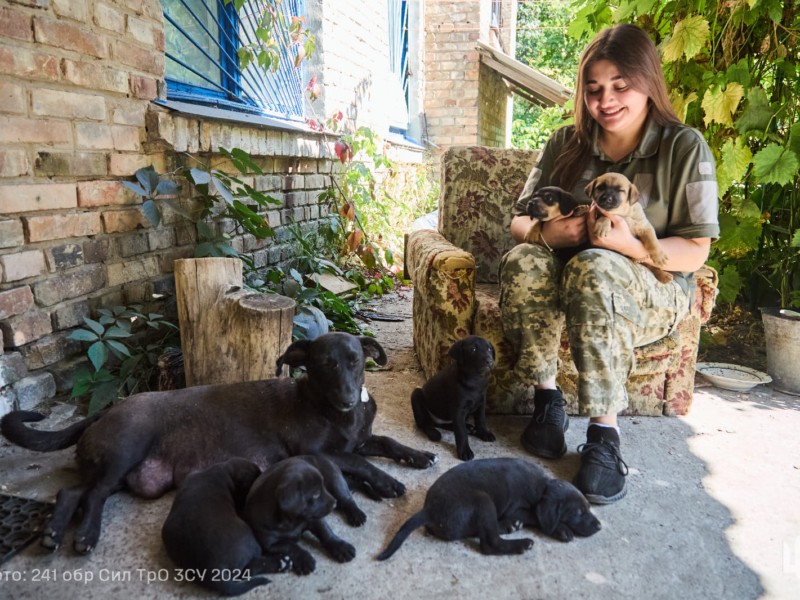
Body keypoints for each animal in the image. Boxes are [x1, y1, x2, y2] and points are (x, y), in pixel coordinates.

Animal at [1, 332, 438, 552]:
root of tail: (104, 411)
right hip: (125, 450)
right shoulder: (318, 453)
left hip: (120, 472)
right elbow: (363, 463)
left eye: (355, 362)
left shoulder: (358, 442)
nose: (349, 398)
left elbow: (386, 442)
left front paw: (417, 455)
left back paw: (54, 533)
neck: (332, 409)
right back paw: (86, 536)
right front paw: (387, 482)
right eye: (323, 365)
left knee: (72, 492)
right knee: (91, 495)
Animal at [376, 458, 600, 560]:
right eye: (578, 513)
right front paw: (562, 529)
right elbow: (538, 518)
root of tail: (429, 510)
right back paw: (521, 543)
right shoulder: (517, 508)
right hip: (483, 500)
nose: (599, 527)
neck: (543, 487)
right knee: (489, 543)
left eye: (589, 508)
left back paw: (510, 527)